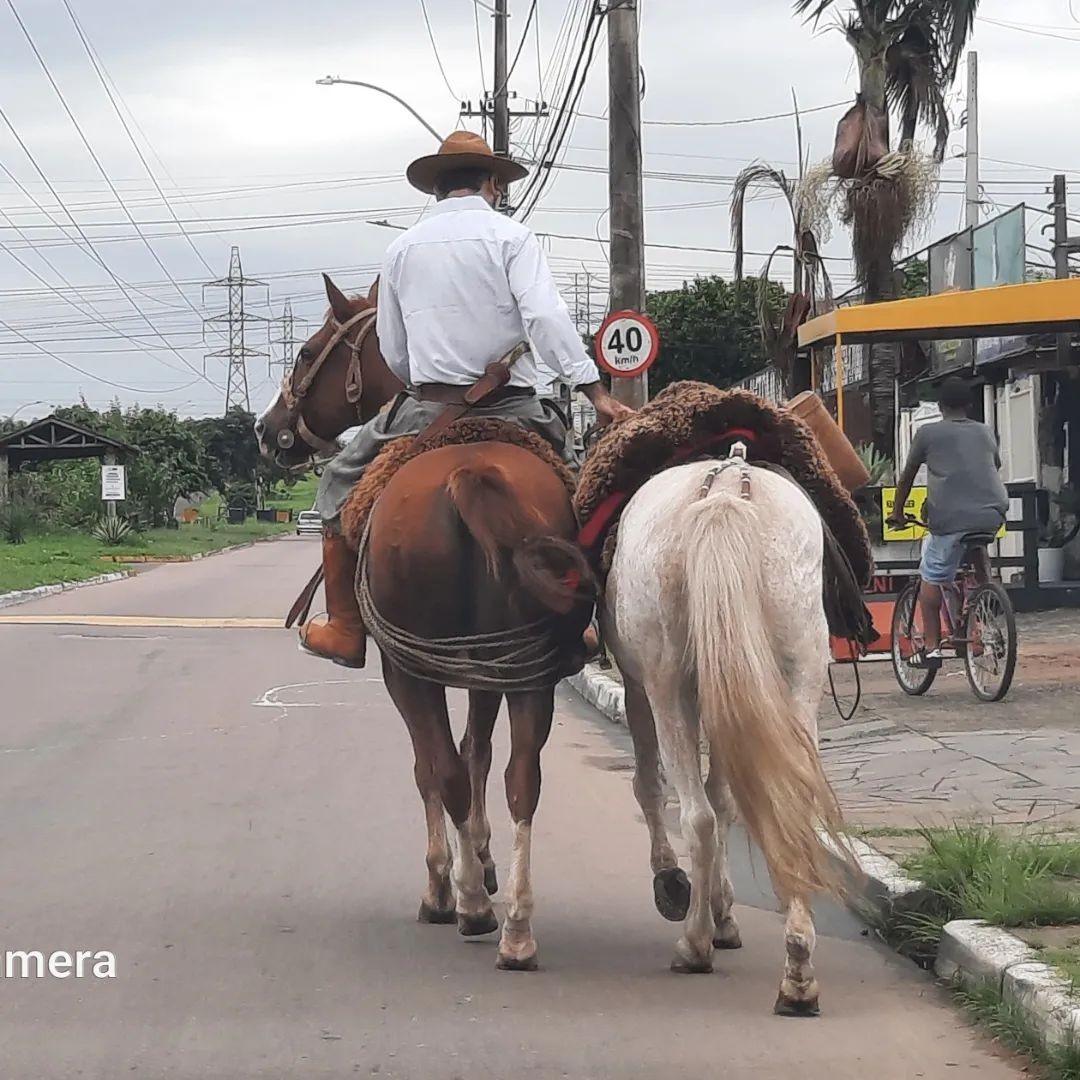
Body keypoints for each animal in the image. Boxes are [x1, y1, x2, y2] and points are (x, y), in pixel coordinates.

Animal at [257, 272, 596, 972]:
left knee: (445, 772)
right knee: (522, 778)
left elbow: (433, 768)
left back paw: (466, 905)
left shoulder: (408, 670)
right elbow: (478, 752)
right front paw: (485, 862)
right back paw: (516, 927)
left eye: (305, 353)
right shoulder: (487, 668)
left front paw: (452, 880)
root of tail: (470, 473)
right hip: (526, 666)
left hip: (414, 667)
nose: (266, 430)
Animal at [604, 451, 846, 1015]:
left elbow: (653, 787)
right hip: (798, 676)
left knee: (696, 816)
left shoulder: (638, 686)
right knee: (785, 808)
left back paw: (694, 944)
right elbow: (730, 797)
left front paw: (685, 892)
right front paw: (723, 911)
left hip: (668, 685)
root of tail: (725, 493)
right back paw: (797, 973)